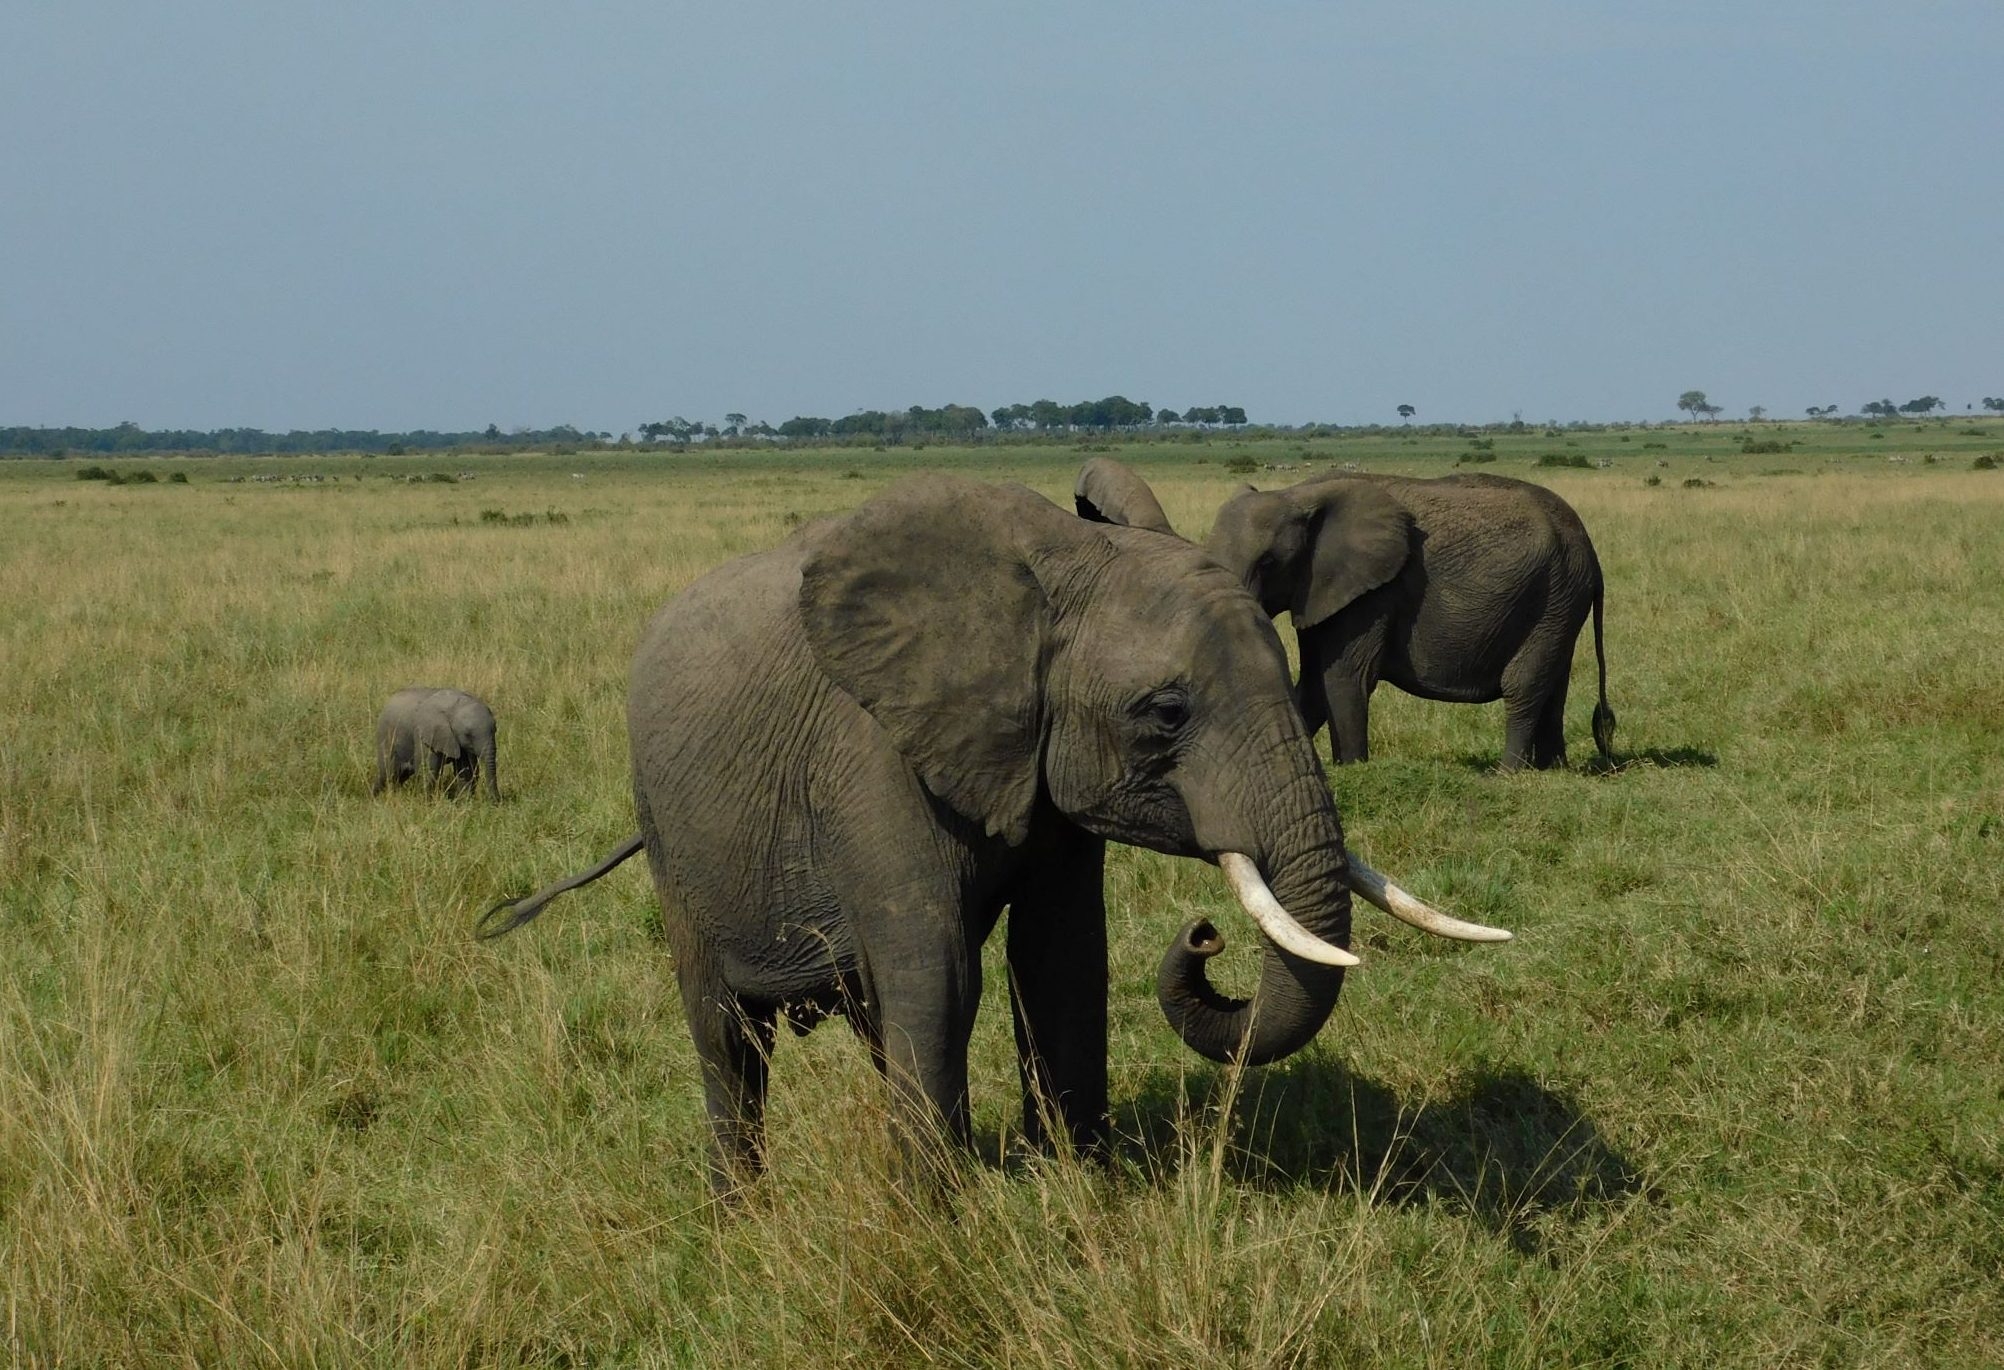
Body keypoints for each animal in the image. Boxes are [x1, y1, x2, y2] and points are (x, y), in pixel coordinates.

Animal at [477, 475, 1506, 1193]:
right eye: (1167, 714)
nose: (1204, 934)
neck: (1060, 567)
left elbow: (1059, 959)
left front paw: (1081, 1192)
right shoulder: (873, 754)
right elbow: (938, 970)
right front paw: (935, 1219)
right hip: (669, 833)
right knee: (729, 1035)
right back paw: (743, 1215)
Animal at [1077, 459, 1614, 770]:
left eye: (1268, 563)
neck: (1297, 493)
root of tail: (1590, 549)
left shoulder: (1372, 591)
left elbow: (1343, 676)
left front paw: (1352, 769)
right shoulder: (1320, 589)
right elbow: (1314, 683)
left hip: (1554, 592)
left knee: (1525, 683)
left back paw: (1508, 774)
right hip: (1558, 599)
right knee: (1553, 681)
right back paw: (1553, 770)